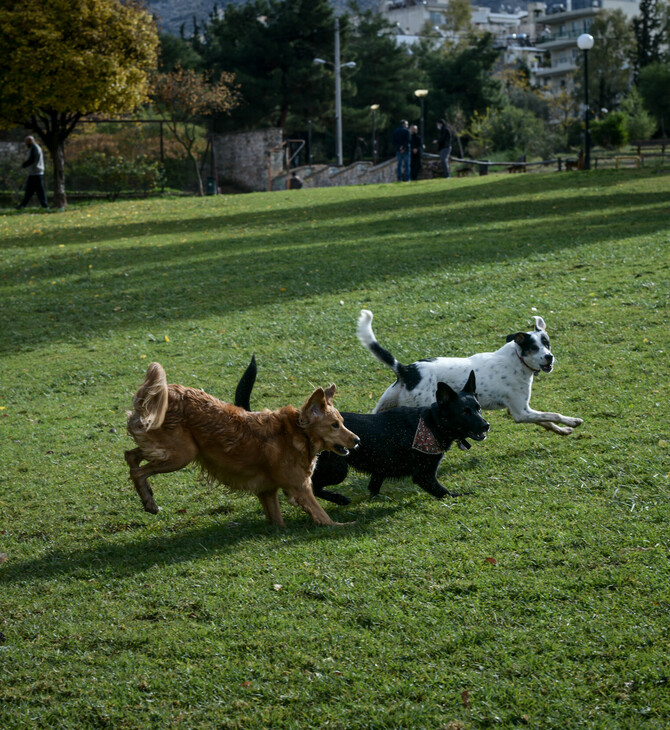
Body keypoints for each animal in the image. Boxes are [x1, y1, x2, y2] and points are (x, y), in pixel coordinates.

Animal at [124, 362, 360, 524]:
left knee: (131, 455)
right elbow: (325, 518)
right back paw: (149, 502)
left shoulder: (267, 491)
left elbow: (278, 522)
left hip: (169, 449)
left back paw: (147, 495)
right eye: (334, 425)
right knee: (137, 471)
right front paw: (346, 524)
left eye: (342, 422)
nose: (357, 440)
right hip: (182, 454)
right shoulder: (300, 489)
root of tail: (165, 391)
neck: (298, 432)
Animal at [234, 356, 490, 504]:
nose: (486, 425)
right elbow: (443, 492)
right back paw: (340, 499)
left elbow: (374, 487)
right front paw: (461, 496)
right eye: (464, 412)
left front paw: (376, 500)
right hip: (338, 468)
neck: (431, 422)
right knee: (312, 486)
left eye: (478, 408)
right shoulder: (424, 475)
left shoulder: (381, 469)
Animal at [360, 306, 584, 432]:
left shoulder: (520, 411)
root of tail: (407, 369)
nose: (549, 357)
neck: (518, 359)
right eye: (534, 347)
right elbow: (553, 414)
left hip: (384, 405)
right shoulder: (521, 412)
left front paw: (562, 430)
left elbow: (546, 421)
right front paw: (572, 421)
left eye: (547, 343)